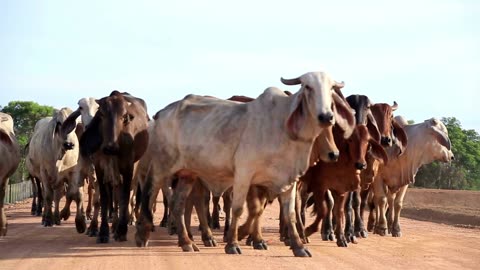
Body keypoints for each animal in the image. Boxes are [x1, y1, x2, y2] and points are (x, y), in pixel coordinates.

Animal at [79, 90, 149, 243]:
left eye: (124, 116)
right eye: (102, 114)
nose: (111, 147)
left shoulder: (128, 167)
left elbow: (124, 197)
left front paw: (122, 231)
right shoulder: (99, 168)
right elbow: (104, 199)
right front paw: (103, 231)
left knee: (125, 196)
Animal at [135, 71, 356, 258]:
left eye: (330, 88)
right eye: (308, 87)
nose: (326, 116)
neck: (281, 128)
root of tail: (162, 112)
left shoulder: (288, 179)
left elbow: (289, 214)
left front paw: (298, 246)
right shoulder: (244, 174)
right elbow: (239, 209)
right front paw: (233, 243)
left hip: (187, 174)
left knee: (178, 203)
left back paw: (187, 242)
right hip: (162, 166)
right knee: (150, 194)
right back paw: (143, 235)